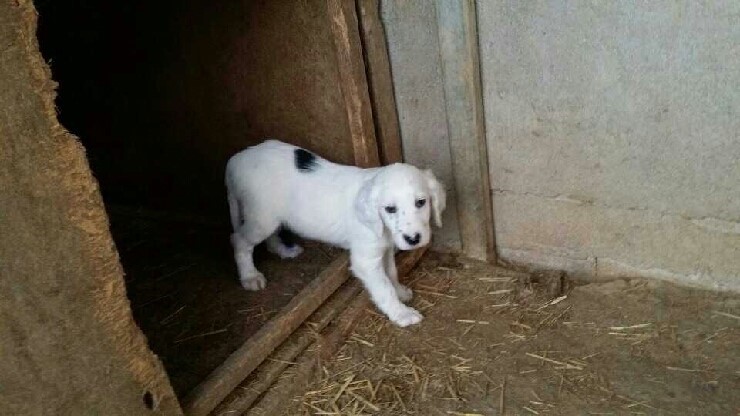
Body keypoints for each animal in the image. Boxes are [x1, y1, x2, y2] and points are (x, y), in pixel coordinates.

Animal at [225, 140, 446, 327]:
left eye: (421, 202)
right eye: (390, 209)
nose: (413, 239)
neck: (380, 226)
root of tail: (236, 160)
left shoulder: (385, 249)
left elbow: (391, 272)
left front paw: (400, 291)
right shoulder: (365, 260)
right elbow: (384, 287)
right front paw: (402, 313)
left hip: (270, 217)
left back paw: (283, 250)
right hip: (261, 218)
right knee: (238, 240)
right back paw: (250, 276)